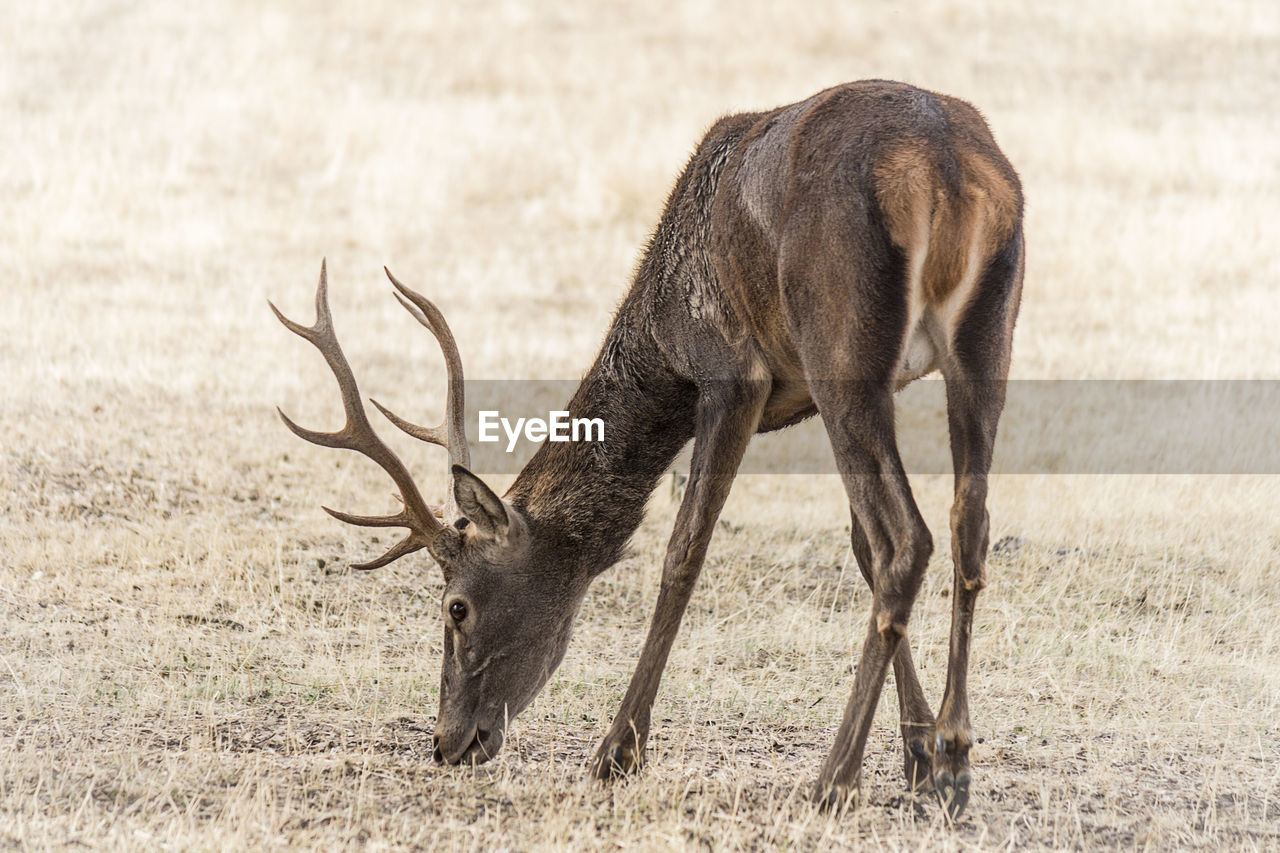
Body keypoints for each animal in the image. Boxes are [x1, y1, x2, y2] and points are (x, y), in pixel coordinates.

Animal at [275, 81, 1024, 819]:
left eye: (456, 606)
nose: (446, 741)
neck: (663, 340)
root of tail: (948, 169)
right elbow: (859, 549)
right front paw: (918, 755)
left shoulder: (733, 374)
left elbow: (684, 550)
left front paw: (617, 751)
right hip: (987, 337)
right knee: (968, 524)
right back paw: (955, 758)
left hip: (840, 340)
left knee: (909, 538)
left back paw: (832, 780)